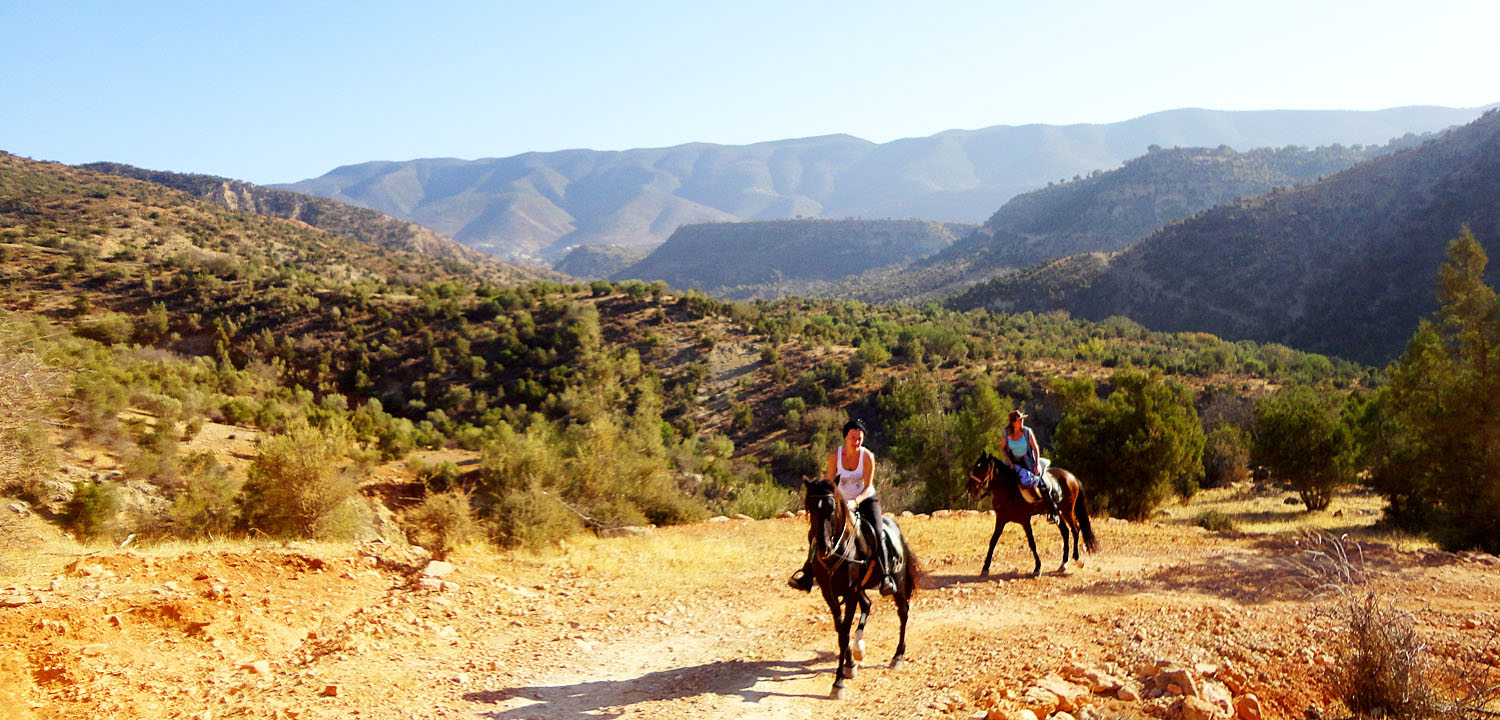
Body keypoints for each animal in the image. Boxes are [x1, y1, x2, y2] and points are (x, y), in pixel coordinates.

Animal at [801, 478, 924, 699]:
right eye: (810, 507)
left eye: (832, 509)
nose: (823, 547)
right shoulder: (829, 594)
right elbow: (841, 629)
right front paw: (850, 664)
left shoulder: (850, 593)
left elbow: (843, 633)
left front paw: (839, 682)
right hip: (861, 588)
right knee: (867, 604)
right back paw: (859, 647)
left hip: (898, 583)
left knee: (903, 613)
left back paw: (898, 656)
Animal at [965, 451, 1099, 578]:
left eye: (982, 470)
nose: (969, 488)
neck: (1008, 490)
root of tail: (1072, 477)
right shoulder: (1001, 519)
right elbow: (993, 541)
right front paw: (985, 568)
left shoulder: (1025, 520)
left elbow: (1032, 543)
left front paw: (1037, 568)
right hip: (1058, 513)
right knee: (1065, 532)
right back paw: (1063, 564)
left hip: (1068, 510)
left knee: (1075, 530)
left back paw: (1077, 560)